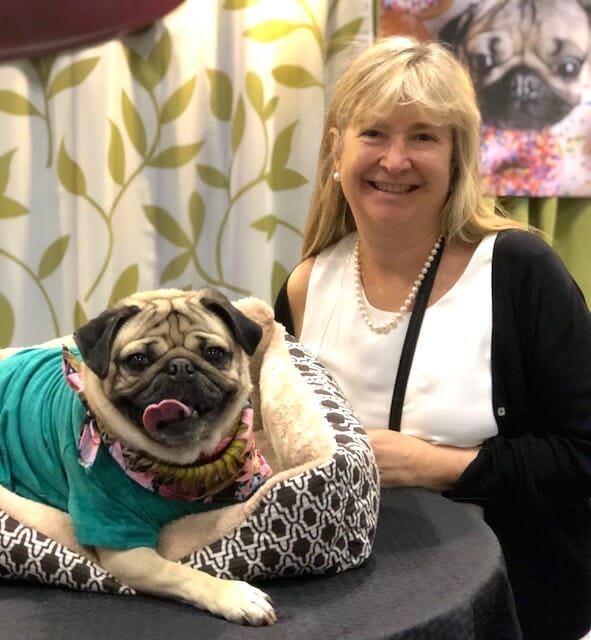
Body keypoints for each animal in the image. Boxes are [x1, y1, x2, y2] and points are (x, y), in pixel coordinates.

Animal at [0, 288, 276, 624]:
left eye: (214, 353)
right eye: (138, 360)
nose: (180, 366)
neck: (183, 467)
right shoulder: (126, 550)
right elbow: (181, 573)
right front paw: (232, 594)